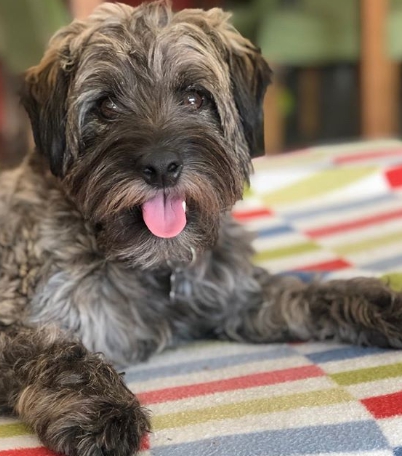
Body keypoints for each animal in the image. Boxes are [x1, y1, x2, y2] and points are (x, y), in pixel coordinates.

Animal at [0, 0, 402, 456]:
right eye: (106, 106)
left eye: (195, 96)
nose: (161, 166)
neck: (156, 267)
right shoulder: (21, 321)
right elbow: (62, 353)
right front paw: (103, 409)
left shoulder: (238, 297)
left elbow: (307, 293)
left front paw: (383, 303)